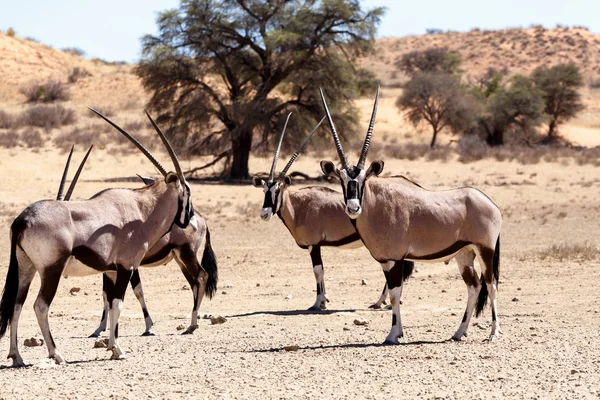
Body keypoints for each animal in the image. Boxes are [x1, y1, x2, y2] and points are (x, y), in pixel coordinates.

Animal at [0, 109, 195, 366]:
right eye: (188, 192)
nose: (190, 217)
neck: (142, 210)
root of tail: (23, 218)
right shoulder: (127, 267)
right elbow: (118, 304)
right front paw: (118, 350)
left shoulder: (111, 271)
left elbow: (111, 305)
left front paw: (111, 345)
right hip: (51, 269)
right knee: (40, 305)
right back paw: (56, 354)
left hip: (26, 268)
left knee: (16, 305)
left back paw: (17, 356)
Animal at [56, 147, 218, 338]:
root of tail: (201, 219)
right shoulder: (110, 268)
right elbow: (106, 295)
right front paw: (99, 328)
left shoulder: (129, 265)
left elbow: (136, 291)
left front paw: (148, 327)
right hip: (180, 260)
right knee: (194, 283)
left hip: (187, 254)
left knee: (202, 276)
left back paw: (192, 324)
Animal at [252, 114, 412, 310]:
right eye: (264, 190)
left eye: (278, 189)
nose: (264, 213)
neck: (300, 206)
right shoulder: (317, 245)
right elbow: (321, 270)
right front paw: (325, 299)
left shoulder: (313, 245)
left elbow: (317, 270)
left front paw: (318, 302)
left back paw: (383, 301)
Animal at [318, 88, 502, 344]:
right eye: (341, 180)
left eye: (364, 180)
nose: (353, 207)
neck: (377, 206)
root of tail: (490, 203)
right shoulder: (387, 262)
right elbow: (394, 295)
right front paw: (398, 332)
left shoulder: (397, 259)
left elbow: (395, 295)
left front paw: (393, 334)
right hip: (464, 253)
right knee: (474, 286)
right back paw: (458, 332)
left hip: (485, 250)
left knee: (491, 285)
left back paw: (493, 333)